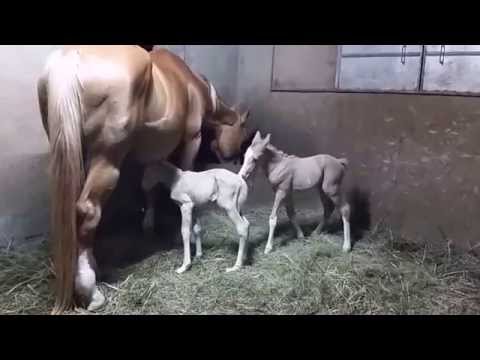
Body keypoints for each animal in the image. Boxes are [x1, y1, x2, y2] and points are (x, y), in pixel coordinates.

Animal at [36, 45, 251, 316]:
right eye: (242, 130)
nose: (233, 157)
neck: (192, 85)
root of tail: (71, 57)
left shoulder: (152, 154)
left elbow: (148, 188)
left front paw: (148, 224)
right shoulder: (191, 141)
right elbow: (185, 176)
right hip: (106, 159)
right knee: (87, 210)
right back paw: (90, 289)